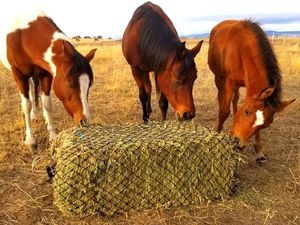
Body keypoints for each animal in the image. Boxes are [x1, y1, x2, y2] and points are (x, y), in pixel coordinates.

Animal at [0, 2, 96, 149]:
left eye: (89, 85)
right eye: (71, 84)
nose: (84, 121)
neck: (24, 35)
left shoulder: (46, 75)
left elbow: (47, 104)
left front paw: (52, 135)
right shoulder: (19, 75)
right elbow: (26, 105)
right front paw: (30, 139)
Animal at [209, 19, 296, 163]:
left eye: (266, 125)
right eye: (247, 111)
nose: (237, 143)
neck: (242, 46)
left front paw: (259, 152)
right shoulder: (227, 82)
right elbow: (224, 111)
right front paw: (216, 136)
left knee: (235, 99)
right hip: (219, 79)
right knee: (223, 100)